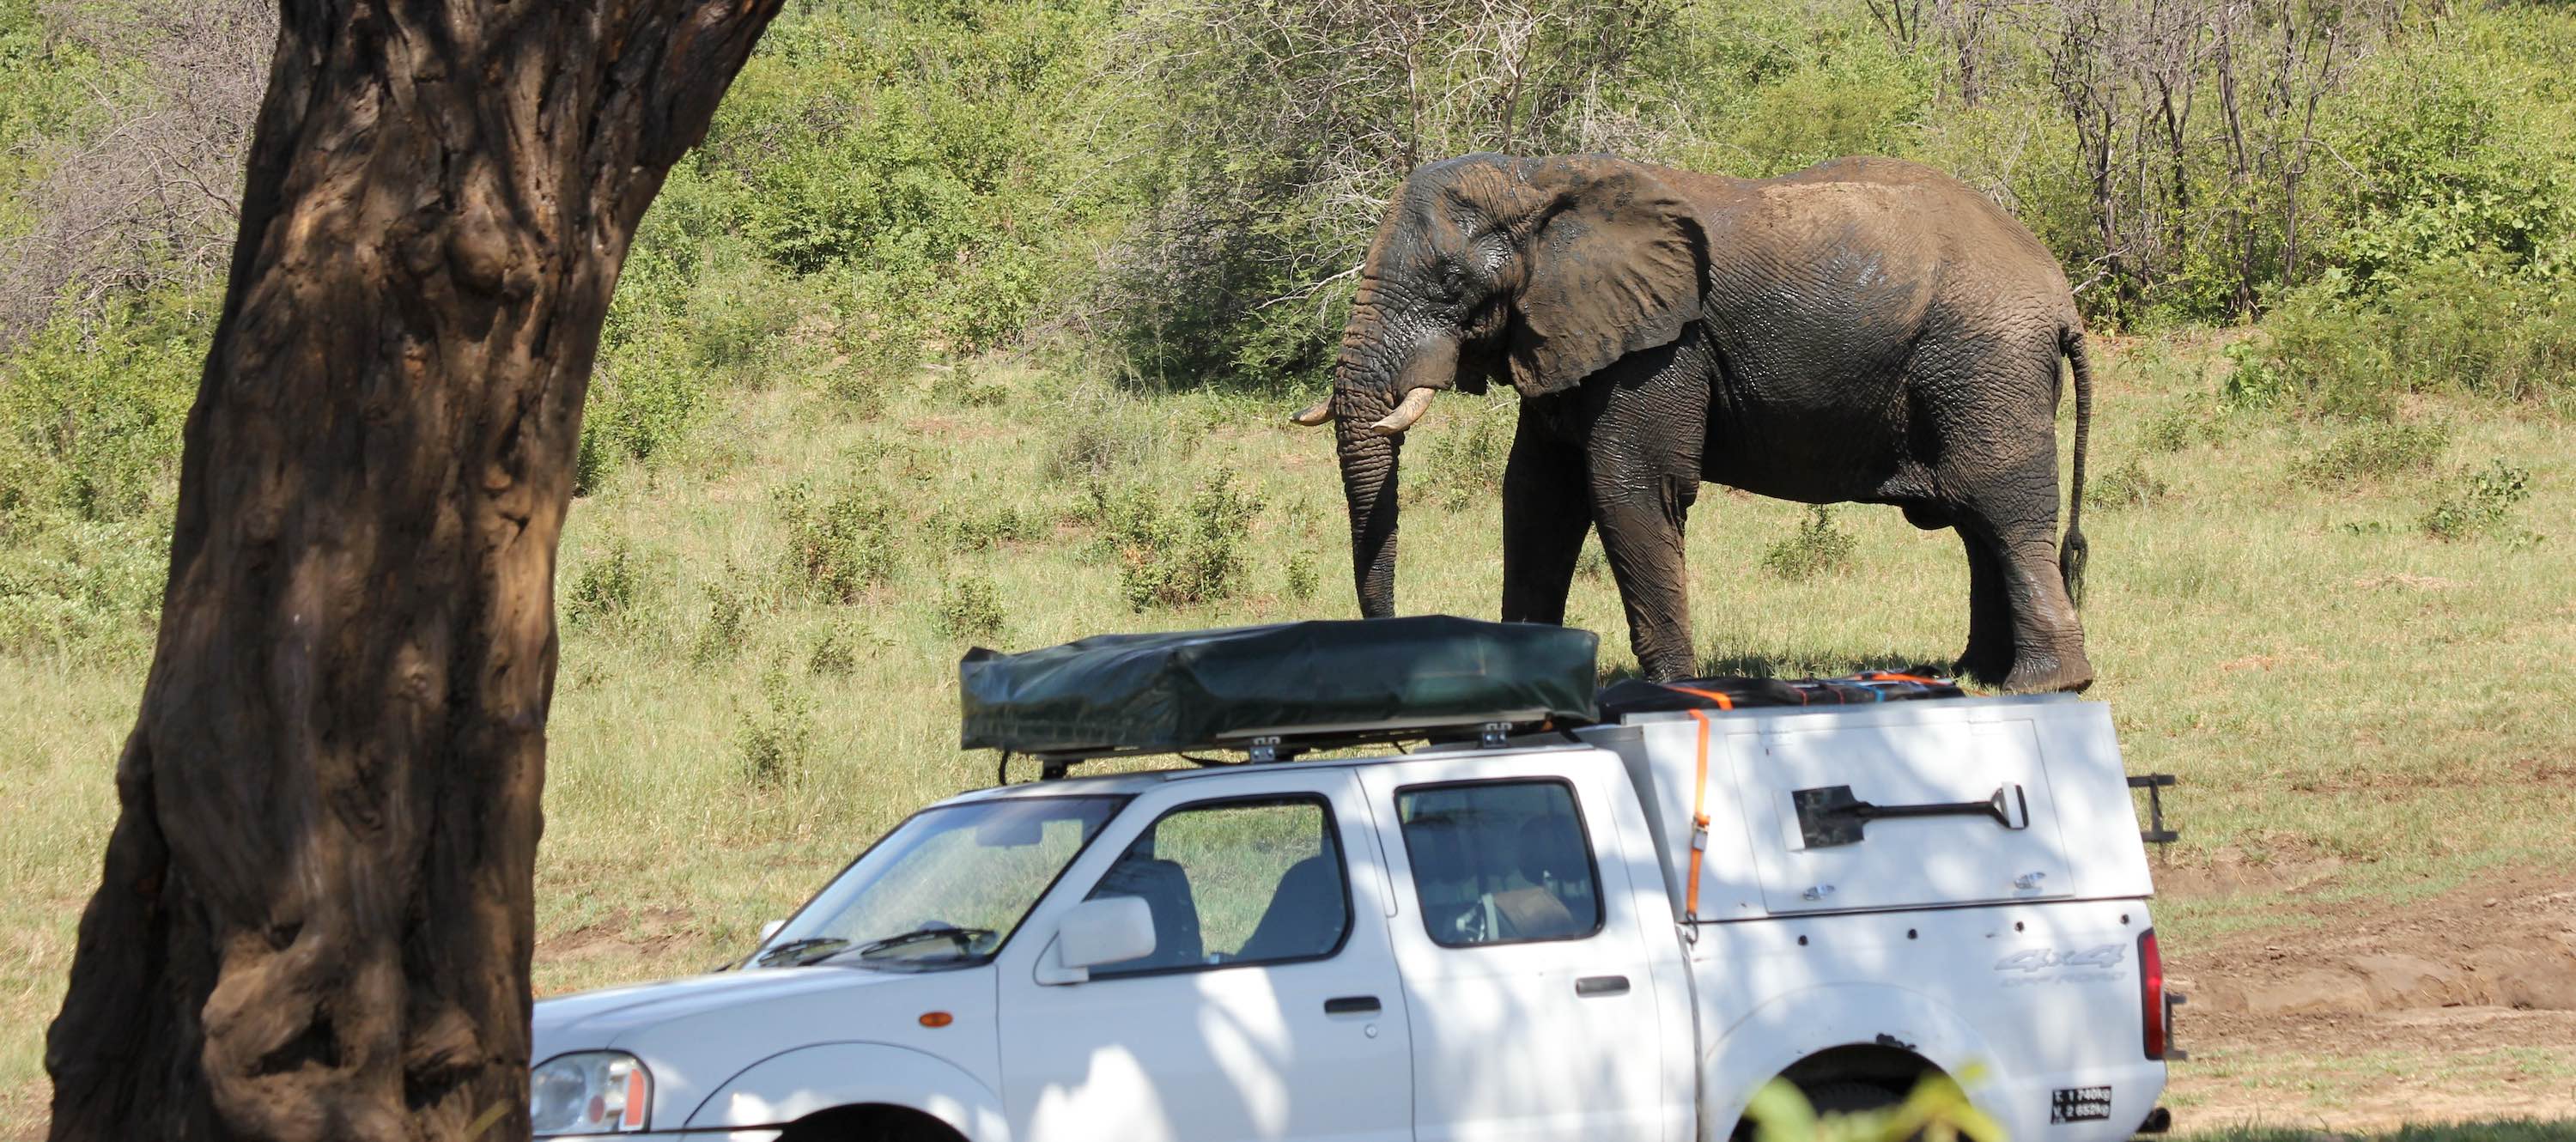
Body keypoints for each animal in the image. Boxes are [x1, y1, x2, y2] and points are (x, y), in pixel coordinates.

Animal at [1289, 152, 2096, 693]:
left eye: (1450, 283)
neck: (1544, 178)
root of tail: (2061, 296)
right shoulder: (1570, 337)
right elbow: (1537, 499)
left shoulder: (1662, 347)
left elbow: (1629, 489)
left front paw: (1672, 693)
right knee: (1974, 520)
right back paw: (1972, 675)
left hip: (1983, 364)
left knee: (2002, 509)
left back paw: (2044, 686)